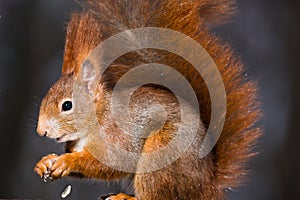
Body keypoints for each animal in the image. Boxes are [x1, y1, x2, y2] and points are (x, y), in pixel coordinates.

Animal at [34, 0, 262, 199]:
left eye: (67, 105)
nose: (41, 131)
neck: (99, 117)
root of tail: (205, 188)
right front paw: (45, 162)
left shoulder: (120, 137)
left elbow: (113, 163)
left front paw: (67, 162)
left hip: (159, 160)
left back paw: (126, 198)